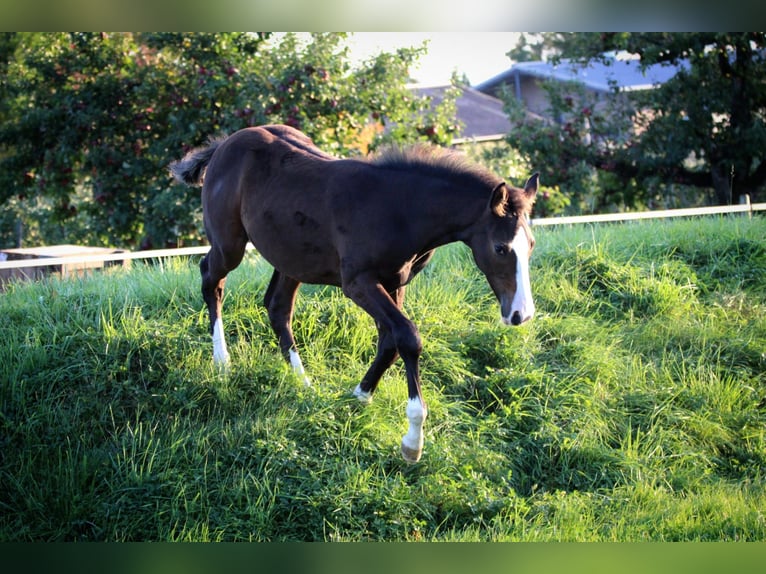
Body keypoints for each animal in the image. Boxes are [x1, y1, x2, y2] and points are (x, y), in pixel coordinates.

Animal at [170, 124, 538, 463]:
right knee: (211, 279)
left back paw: (302, 382)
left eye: (531, 244)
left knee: (277, 307)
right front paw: (413, 441)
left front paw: (358, 396)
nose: (521, 314)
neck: (400, 209)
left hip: (292, 258)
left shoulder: (395, 282)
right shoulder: (359, 282)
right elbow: (408, 337)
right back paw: (222, 362)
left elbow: (390, 341)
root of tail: (224, 145)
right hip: (229, 244)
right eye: (501, 248)